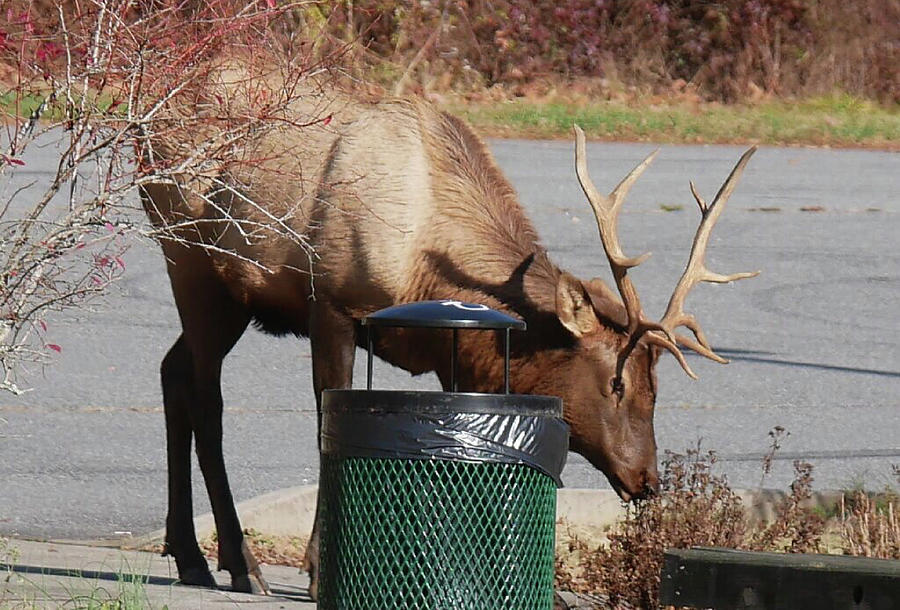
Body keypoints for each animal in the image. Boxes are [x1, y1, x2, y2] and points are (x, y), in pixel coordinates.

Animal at [141, 76, 760, 592]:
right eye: (616, 383)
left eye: (657, 386)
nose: (648, 479)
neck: (424, 259)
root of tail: (145, 138)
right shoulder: (333, 307)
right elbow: (325, 429)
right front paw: (319, 570)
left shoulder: (458, 353)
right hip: (191, 264)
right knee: (206, 399)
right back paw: (238, 563)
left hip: (228, 301)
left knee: (172, 371)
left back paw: (190, 555)